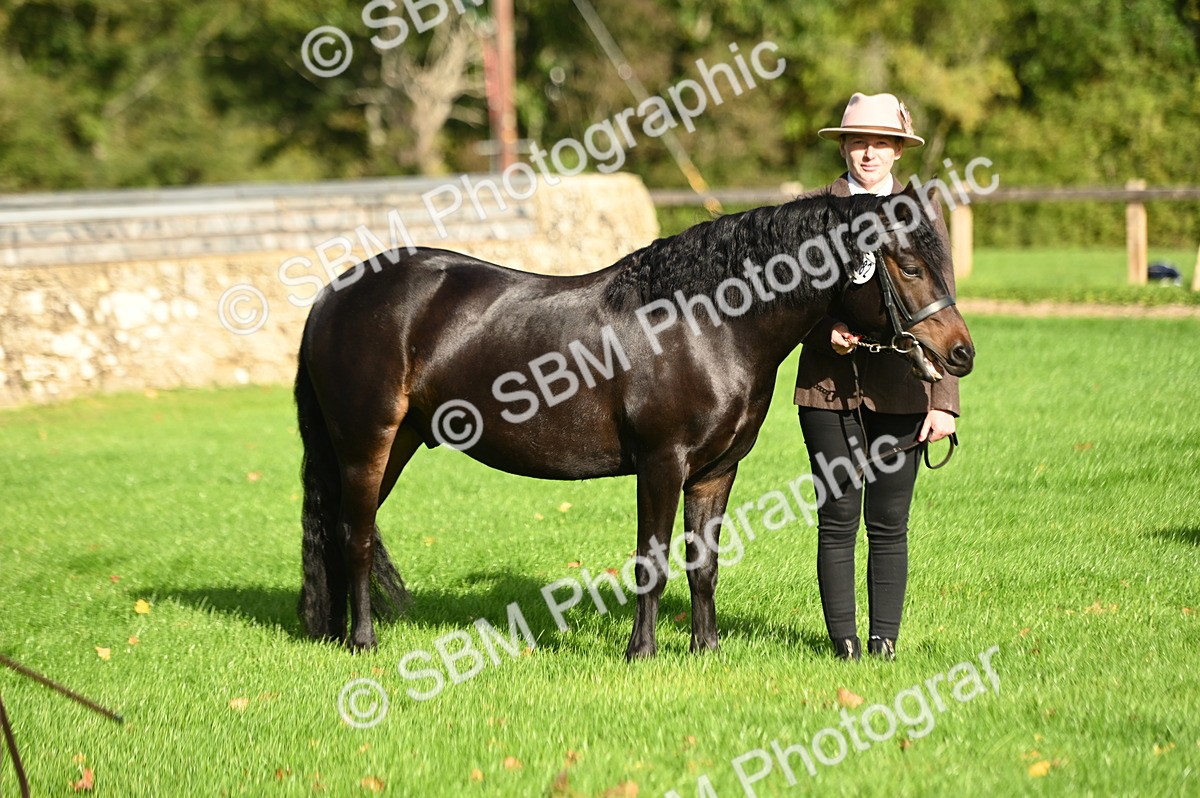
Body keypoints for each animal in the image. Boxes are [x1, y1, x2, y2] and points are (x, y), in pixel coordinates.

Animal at [293, 181, 974, 658]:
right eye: (909, 267)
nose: (961, 353)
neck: (706, 325)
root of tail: (333, 295)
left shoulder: (715, 472)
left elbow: (704, 564)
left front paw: (706, 648)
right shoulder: (660, 463)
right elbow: (653, 560)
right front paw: (641, 651)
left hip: (395, 444)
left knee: (343, 530)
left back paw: (335, 632)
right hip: (366, 443)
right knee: (354, 535)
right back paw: (362, 641)